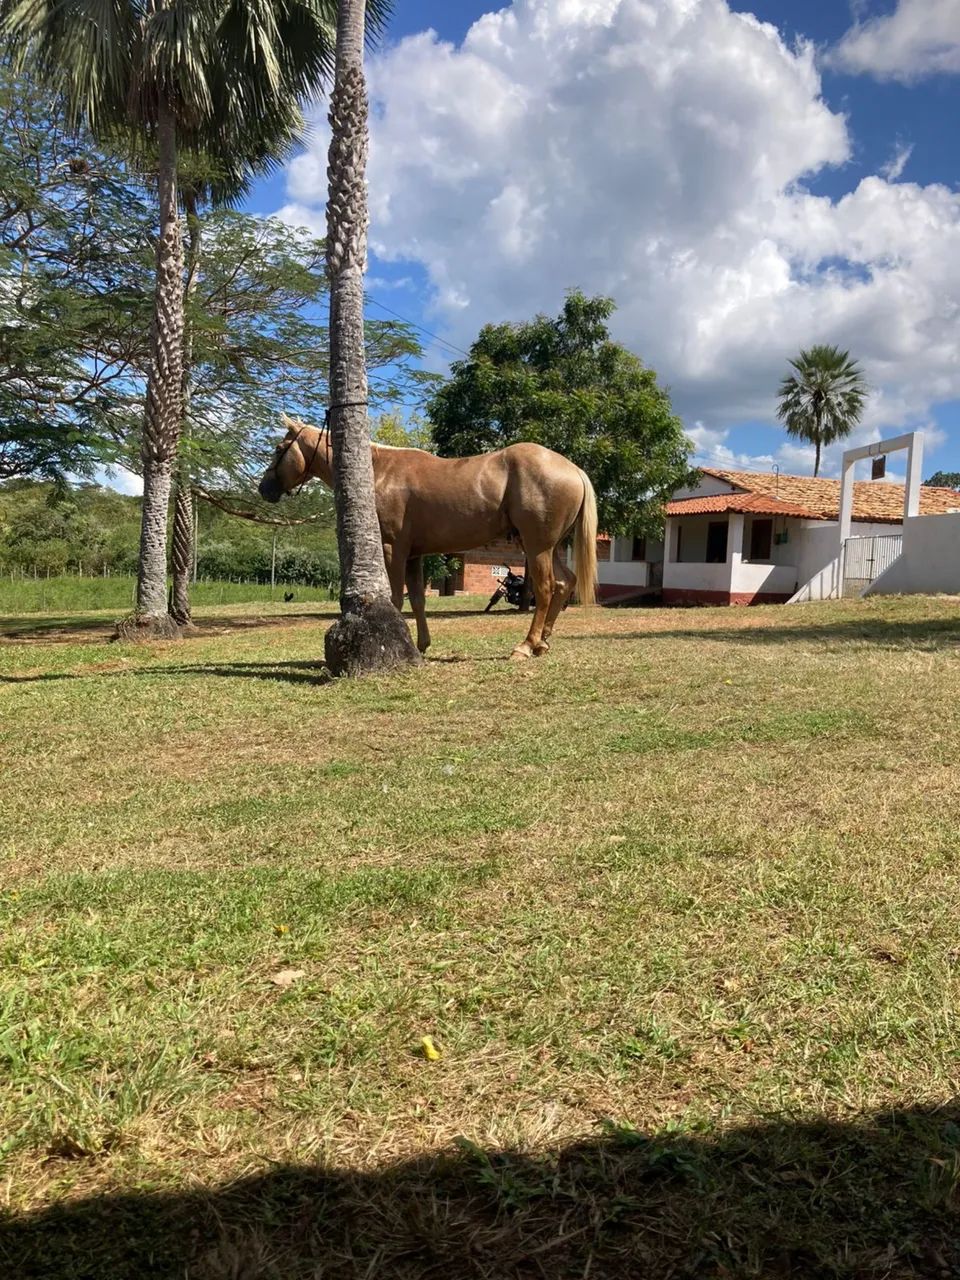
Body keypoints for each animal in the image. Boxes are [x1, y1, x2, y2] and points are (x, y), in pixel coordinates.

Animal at [258, 416, 598, 659]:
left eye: (278, 449)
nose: (264, 488)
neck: (380, 470)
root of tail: (573, 469)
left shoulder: (392, 549)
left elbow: (397, 598)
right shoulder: (413, 554)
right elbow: (418, 599)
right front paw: (421, 644)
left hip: (538, 547)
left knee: (545, 589)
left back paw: (525, 646)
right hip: (549, 546)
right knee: (564, 583)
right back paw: (542, 643)